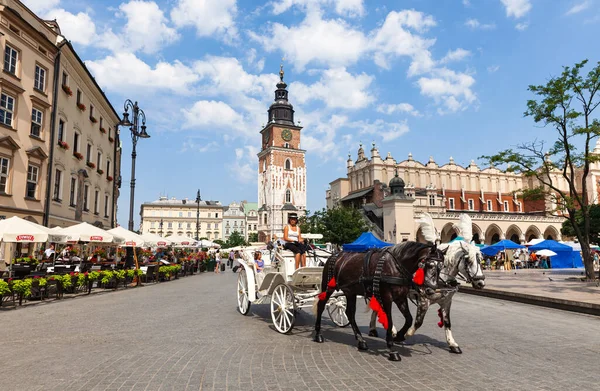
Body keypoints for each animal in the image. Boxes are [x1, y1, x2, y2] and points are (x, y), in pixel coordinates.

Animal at [312, 243, 442, 362]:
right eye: (430, 265)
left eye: (441, 267)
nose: (430, 290)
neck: (395, 267)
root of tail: (334, 255)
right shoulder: (386, 297)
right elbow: (389, 321)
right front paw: (391, 349)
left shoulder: (400, 297)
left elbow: (409, 319)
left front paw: (399, 336)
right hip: (328, 287)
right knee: (321, 305)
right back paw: (318, 334)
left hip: (350, 292)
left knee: (350, 313)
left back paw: (361, 340)